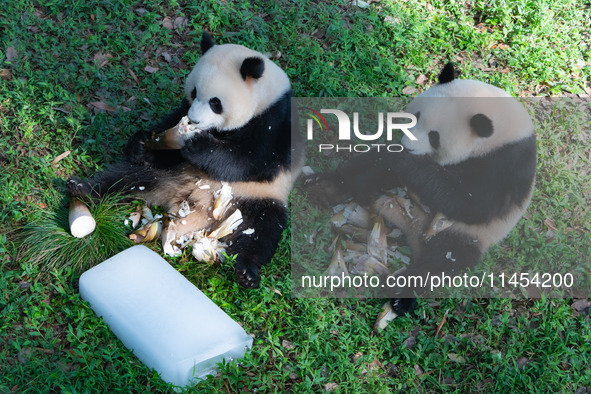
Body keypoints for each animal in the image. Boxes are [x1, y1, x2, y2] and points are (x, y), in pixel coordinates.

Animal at [68, 32, 306, 288]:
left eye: (215, 102)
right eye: (193, 93)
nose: (194, 120)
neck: (265, 97)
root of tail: (193, 206)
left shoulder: (275, 124)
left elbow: (249, 161)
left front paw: (198, 145)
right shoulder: (184, 112)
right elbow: (169, 132)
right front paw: (141, 144)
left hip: (254, 198)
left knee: (262, 229)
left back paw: (247, 272)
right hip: (170, 173)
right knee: (127, 178)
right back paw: (83, 188)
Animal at [310, 62, 536, 326]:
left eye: (434, 137)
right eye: (415, 117)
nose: (407, 146)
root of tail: (412, 231)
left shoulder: (505, 165)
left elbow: (470, 203)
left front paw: (403, 160)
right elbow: (383, 165)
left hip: (462, 234)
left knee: (440, 263)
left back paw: (400, 296)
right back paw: (327, 187)